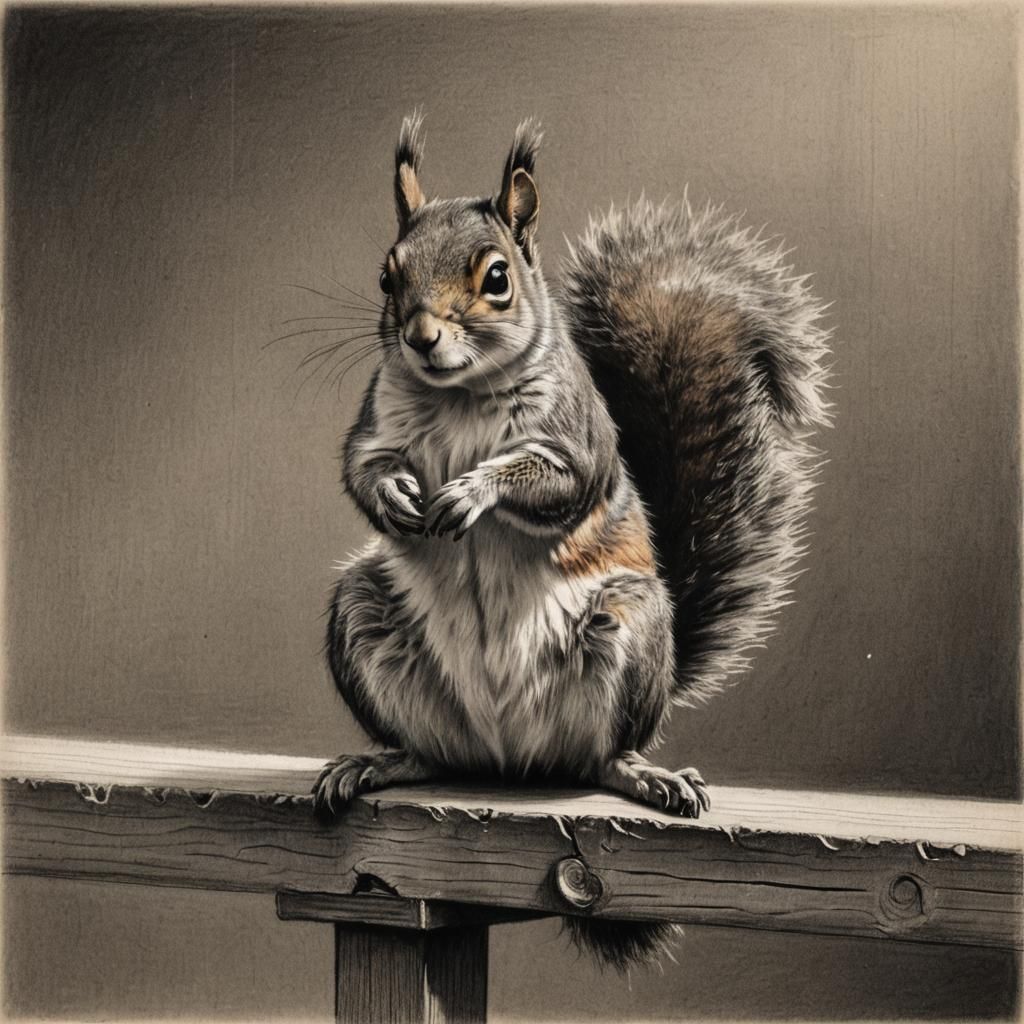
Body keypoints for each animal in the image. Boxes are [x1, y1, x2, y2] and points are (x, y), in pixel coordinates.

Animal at [313, 114, 831, 970]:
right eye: (388, 277)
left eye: (496, 278)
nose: (420, 336)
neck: (458, 398)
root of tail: (508, 756)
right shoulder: (374, 422)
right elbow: (362, 470)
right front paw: (397, 497)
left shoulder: (576, 444)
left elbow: (551, 482)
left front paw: (471, 492)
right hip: (364, 617)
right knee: (431, 753)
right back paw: (381, 761)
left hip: (629, 628)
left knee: (599, 758)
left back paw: (643, 776)